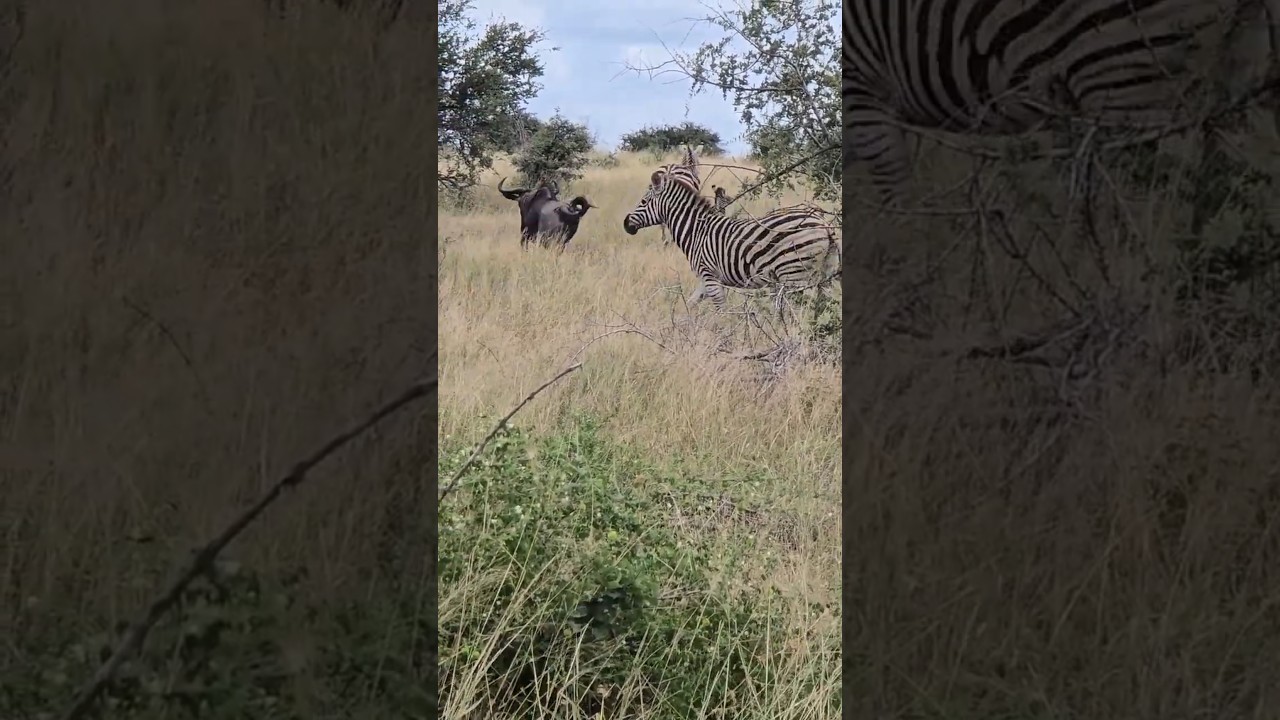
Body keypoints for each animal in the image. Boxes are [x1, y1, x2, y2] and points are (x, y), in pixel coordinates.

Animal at [623, 147, 840, 312]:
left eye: (643, 202)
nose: (626, 224)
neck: (695, 231)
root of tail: (823, 223)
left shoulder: (710, 275)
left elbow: (721, 310)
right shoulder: (705, 279)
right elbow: (691, 304)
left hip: (793, 274)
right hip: (824, 275)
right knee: (823, 307)